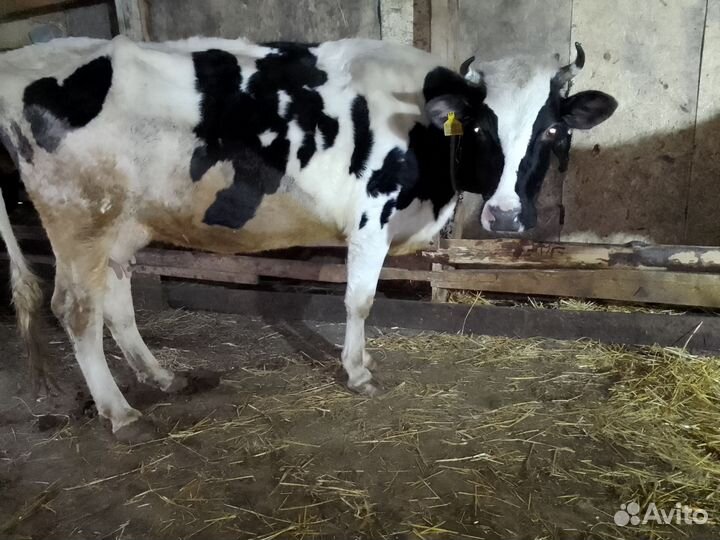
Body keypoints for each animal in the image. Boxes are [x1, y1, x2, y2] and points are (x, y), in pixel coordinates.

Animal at [0, 36, 616, 440]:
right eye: (483, 126)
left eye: (553, 129)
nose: (506, 217)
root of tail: (22, 56)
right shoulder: (371, 216)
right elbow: (359, 300)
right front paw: (358, 372)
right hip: (79, 215)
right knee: (74, 308)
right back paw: (119, 410)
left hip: (121, 221)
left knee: (115, 295)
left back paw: (161, 376)